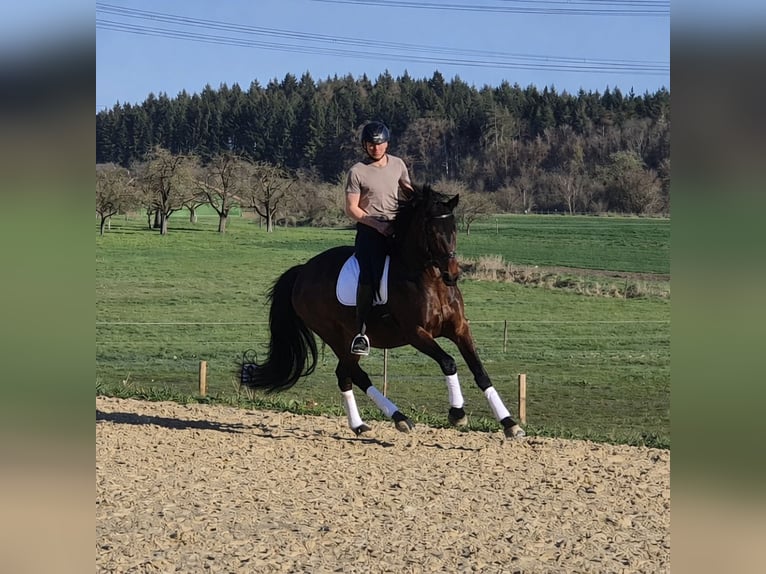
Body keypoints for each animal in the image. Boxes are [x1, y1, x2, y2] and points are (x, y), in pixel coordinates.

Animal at [240, 184, 525, 439]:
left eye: (454, 229)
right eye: (431, 231)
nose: (452, 275)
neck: (429, 278)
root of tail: (303, 272)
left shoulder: (459, 328)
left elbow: (480, 371)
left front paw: (510, 423)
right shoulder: (416, 333)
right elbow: (448, 362)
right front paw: (457, 413)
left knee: (350, 374)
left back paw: (379, 422)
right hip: (338, 337)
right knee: (349, 374)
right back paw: (380, 421)